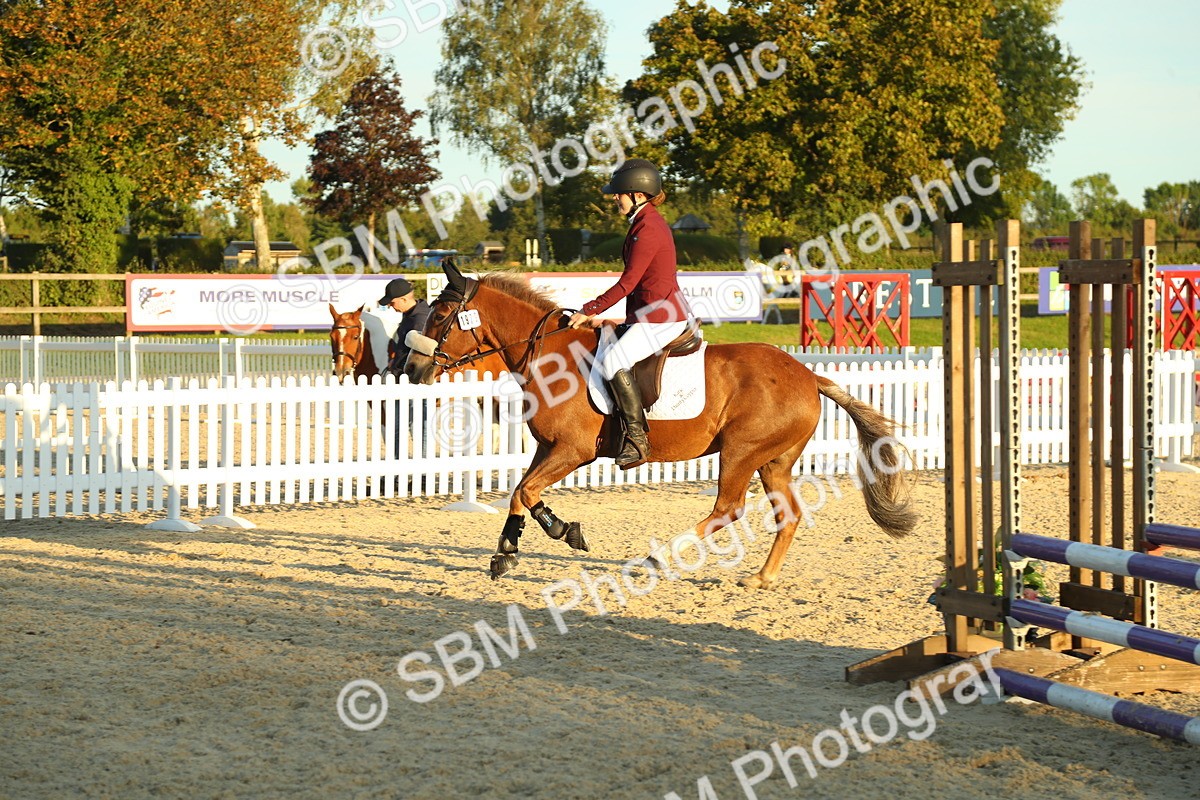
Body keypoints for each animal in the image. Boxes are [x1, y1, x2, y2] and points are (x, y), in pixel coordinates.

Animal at [404, 259, 918, 589]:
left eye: (442, 315)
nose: (411, 368)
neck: (547, 354)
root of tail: (809, 375)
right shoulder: (548, 448)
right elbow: (520, 492)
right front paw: (512, 549)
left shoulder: (572, 451)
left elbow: (527, 492)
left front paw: (554, 534)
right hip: (773, 460)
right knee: (786, 513)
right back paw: (763, 578)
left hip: (740, 452)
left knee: (728, 509)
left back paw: (659, 557)